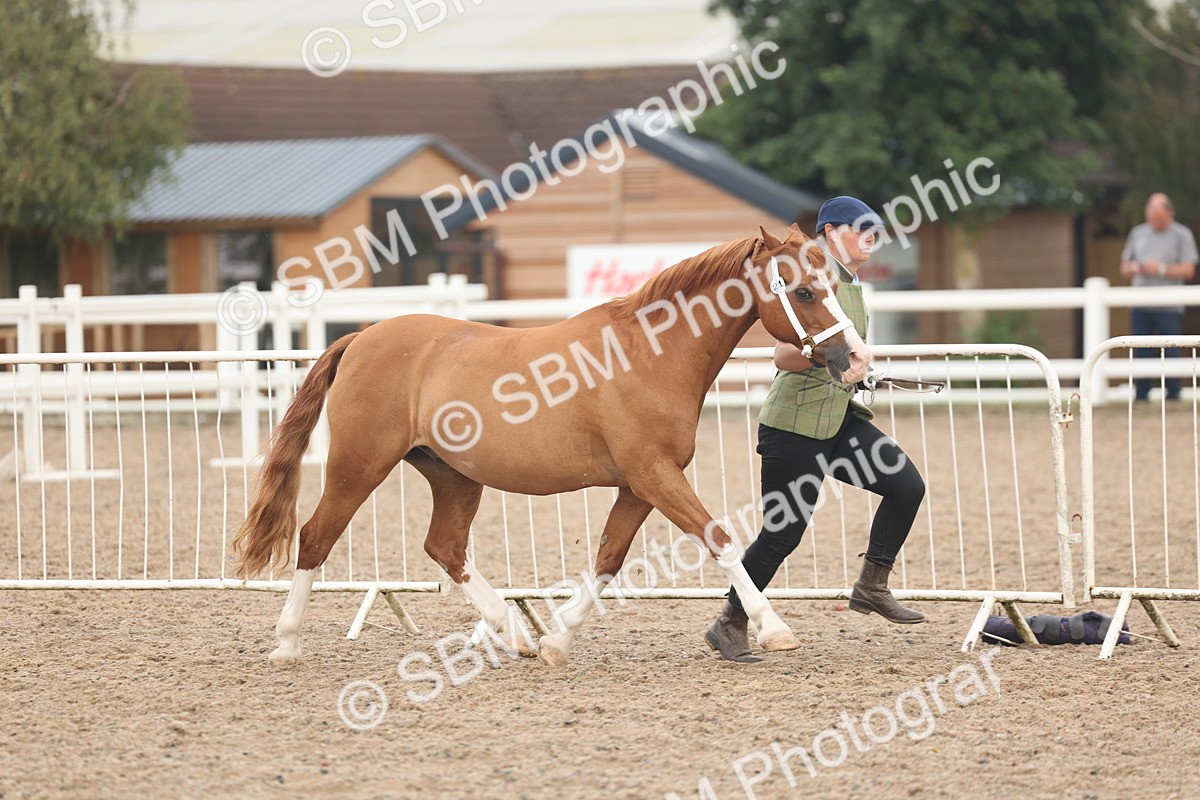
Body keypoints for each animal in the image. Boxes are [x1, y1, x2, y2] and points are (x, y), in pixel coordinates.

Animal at [232, 224, 872, 666]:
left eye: (832, 284)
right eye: (806, 292)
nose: (857, 361)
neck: (647, 355)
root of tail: (362, 337)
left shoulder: (638, 486)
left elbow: (609, 559)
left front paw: (557, 642)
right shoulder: (656, 475)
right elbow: (719, 539)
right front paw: (775, 628)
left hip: (452, 475)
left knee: (445, 548)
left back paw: (514, 633)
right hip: (358, 466)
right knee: (316, 536)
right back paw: (286, 645)